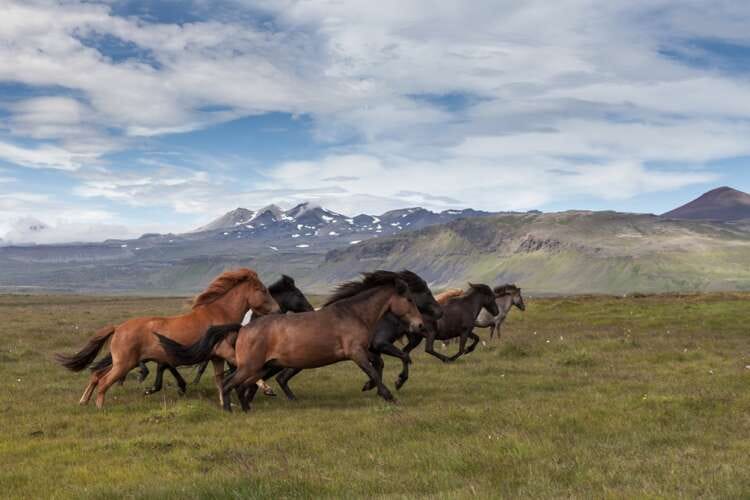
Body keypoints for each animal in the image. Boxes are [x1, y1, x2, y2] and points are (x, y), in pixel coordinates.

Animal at [56, 268, 279, 409]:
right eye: (263, 290)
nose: (278, 310)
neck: (219, 314)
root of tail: (118, 328)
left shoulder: (216, 357)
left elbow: (219, 379)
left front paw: (226, 402)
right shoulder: (224, 350)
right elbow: (245, 367)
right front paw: (268, 389)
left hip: (124, 362)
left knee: (96, 375)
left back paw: (84, 401)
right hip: (124, 363)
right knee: (103, 381)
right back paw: (99, 407)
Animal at [157, 271, 425, 411]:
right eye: (409, 300)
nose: (420, 325)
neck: (353, 314)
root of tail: (243, 328)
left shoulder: (364, 350)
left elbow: (382, 364)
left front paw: (380, 386)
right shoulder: (355, 352)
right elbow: (375, 368)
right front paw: (390, 393)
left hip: (263, 366)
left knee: (244, 386)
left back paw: (247, 408)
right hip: (251, 366)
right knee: (229, 383)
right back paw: (230, 409)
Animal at [275, 270, 443, 401]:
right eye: (426, 293)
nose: (439, 312)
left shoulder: (370, 350)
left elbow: (382, 364)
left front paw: (374, 387)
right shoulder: (377, 345)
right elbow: (401, 357)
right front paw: (396, 382)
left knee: (281, 377)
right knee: (281, 377)